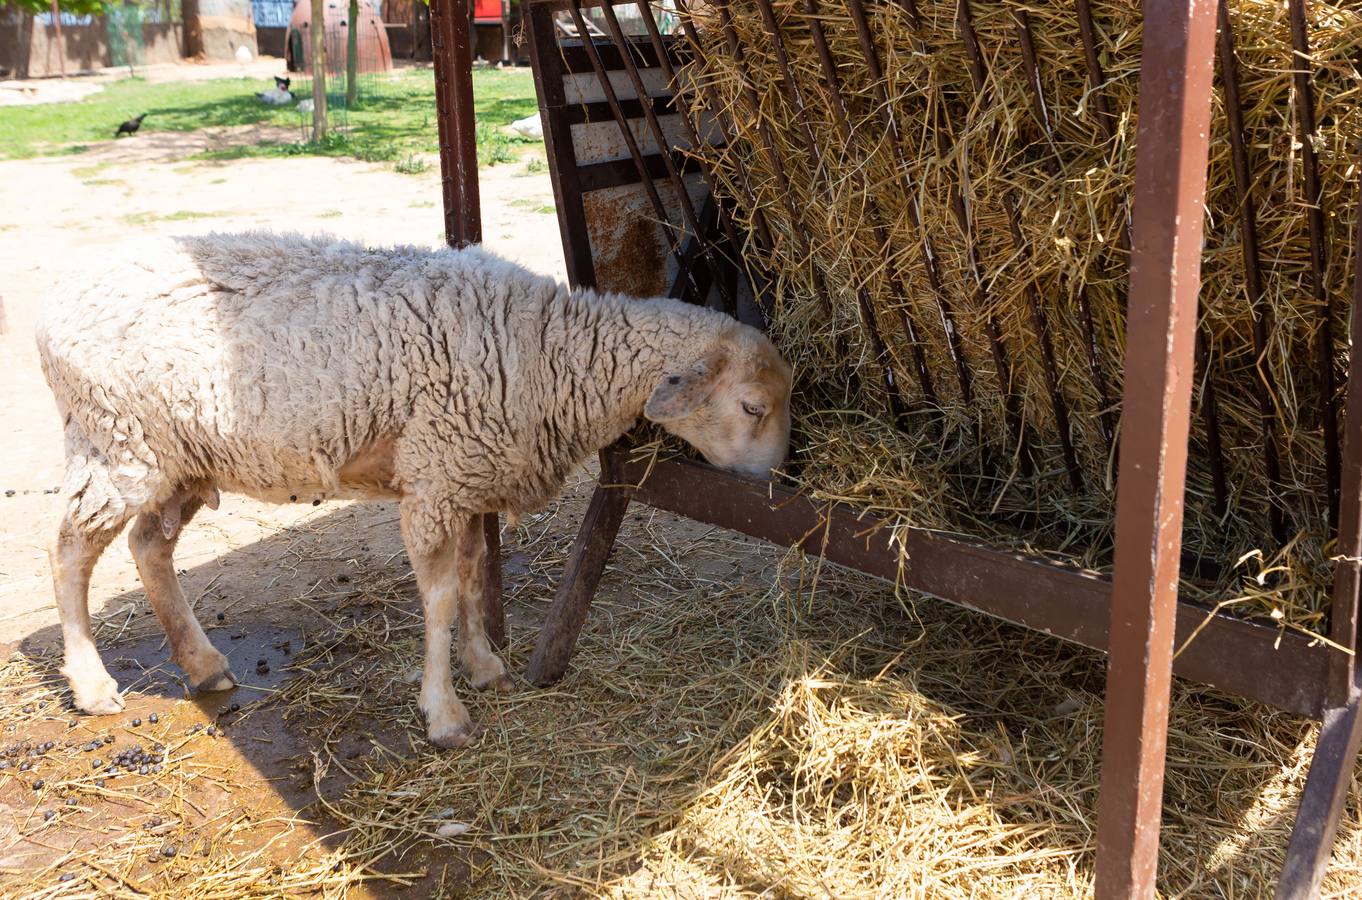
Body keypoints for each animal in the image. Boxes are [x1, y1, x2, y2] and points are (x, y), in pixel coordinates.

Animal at [37, 230, 795, 746]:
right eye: (752, 406)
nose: (779, 479)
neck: (551, 351)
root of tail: (61, 299)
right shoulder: (434, 481)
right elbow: (438, 598)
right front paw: (445, 711)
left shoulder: (466, 478)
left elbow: (473, 575)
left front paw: (483, 665)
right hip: (115, 443)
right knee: (71, 554)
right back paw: (92, 683)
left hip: (177, 457)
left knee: (149, 548)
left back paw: (202, 665)